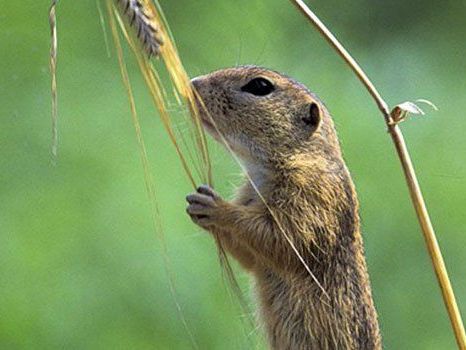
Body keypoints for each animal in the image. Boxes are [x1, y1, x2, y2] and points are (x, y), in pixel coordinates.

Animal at [186, 66, 382, 350]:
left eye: (260, 86)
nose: (192, 83)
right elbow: (251, 257)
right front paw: (197, 205)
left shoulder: (312, 195)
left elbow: (283, 240)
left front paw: (217, 207)